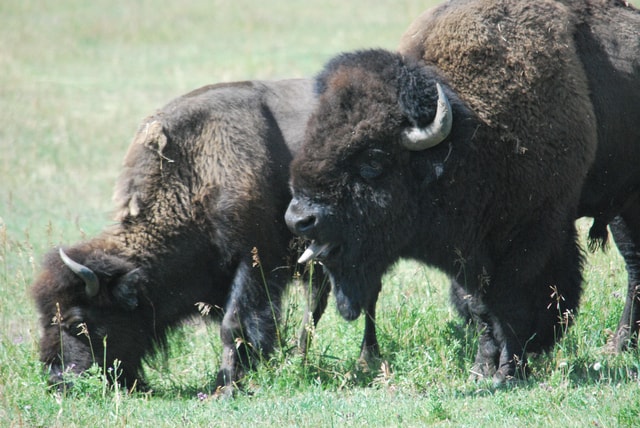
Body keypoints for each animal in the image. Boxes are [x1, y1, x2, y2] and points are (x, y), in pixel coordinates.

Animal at [31, 77, 336, 394]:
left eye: (78, 322)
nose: (57, 379)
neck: (196, 167)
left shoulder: (254, 261)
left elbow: (233, 325)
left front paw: (226, 385)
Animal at [286, 0, 640, 384]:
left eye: (373, 159)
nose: (299, 219)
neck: (472, 134)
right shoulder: (467, 257)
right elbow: (480, 308)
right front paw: (482, 369)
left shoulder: (533, 236)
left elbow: (516, 302)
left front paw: (509, 371)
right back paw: (620, 347)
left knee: (633, 267)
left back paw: (618, 346)